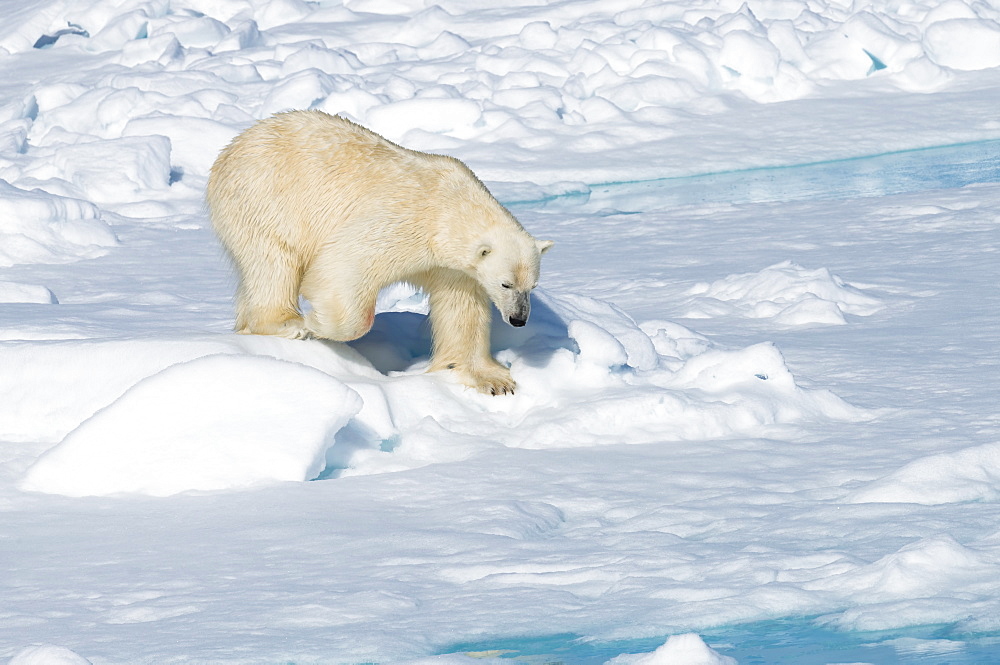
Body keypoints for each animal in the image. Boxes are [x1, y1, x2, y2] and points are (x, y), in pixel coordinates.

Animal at [206, 110, 552, 394]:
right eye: (506, 283)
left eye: (532, 286)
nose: (519, 319)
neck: (451, 207)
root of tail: (235, 144)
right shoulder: (403, 224)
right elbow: (344, 265)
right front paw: (317, 323)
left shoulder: (454, 269)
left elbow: (462, 310)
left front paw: (492, 379)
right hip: (265, 198)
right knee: (274, 261)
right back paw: (287, 323)